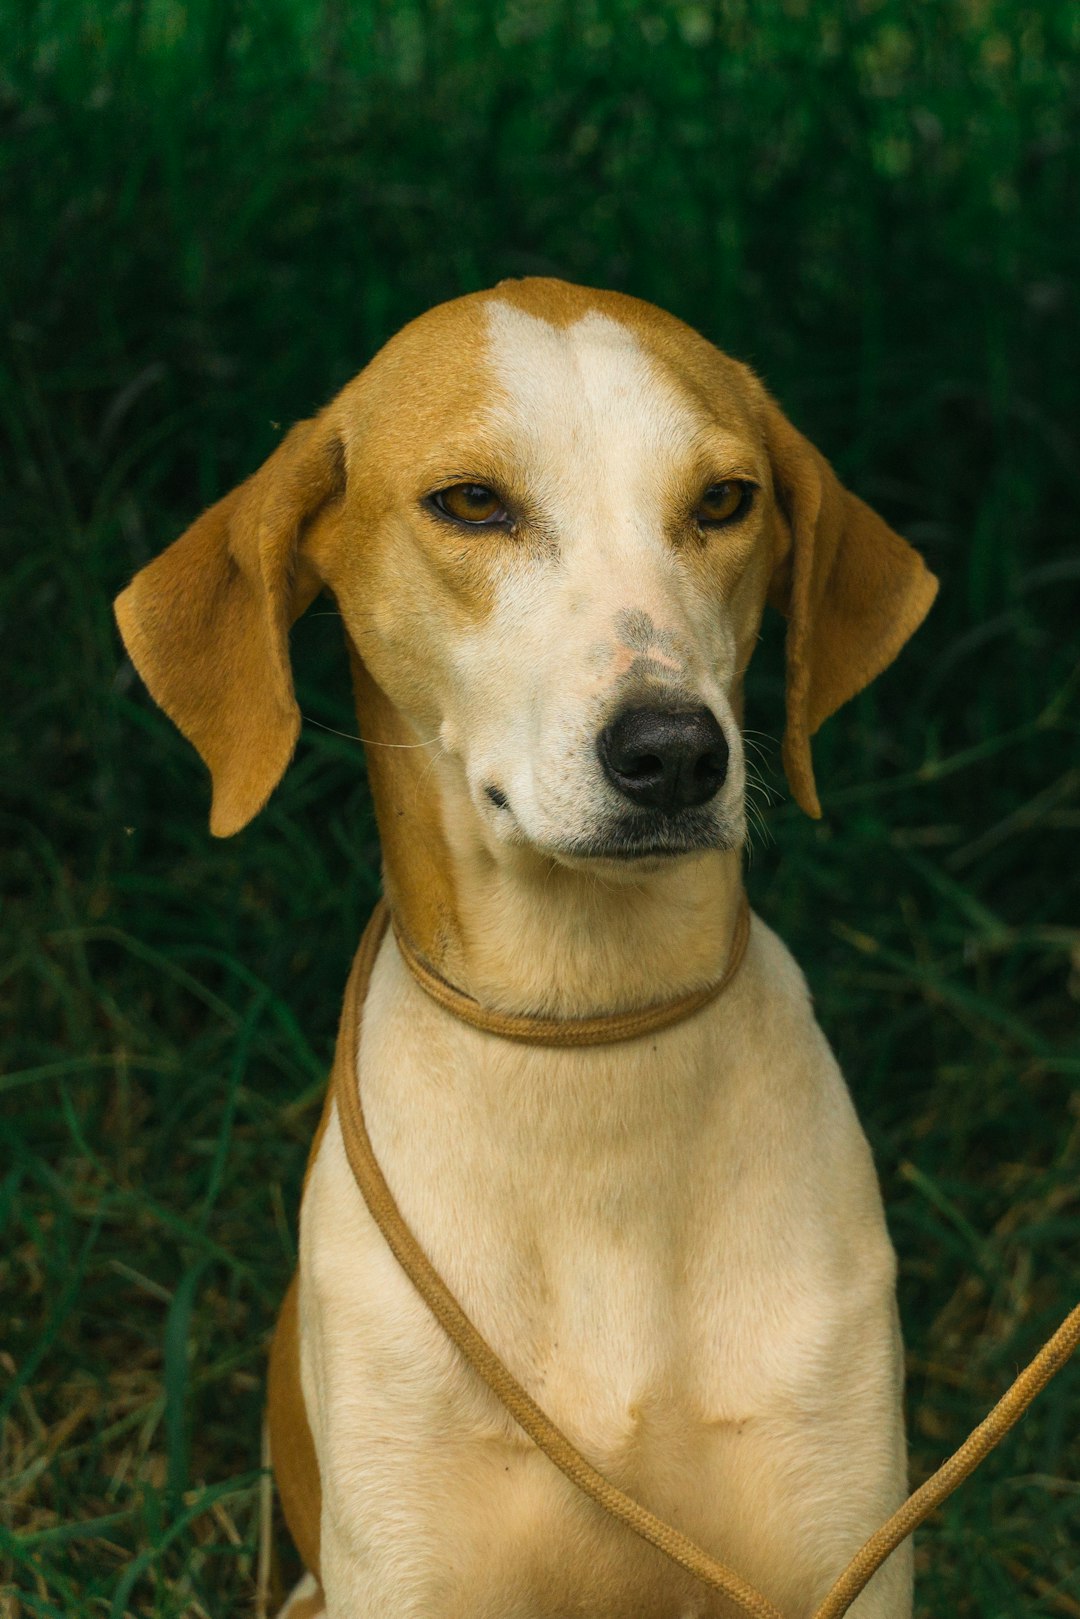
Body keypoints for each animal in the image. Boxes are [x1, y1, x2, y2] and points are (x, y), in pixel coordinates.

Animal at [111, 281, 939, 1619]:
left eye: (725, 499)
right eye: (471, 502)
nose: (673, 751)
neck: (586, 1040)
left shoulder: (839, 1551)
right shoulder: (408, 1562)